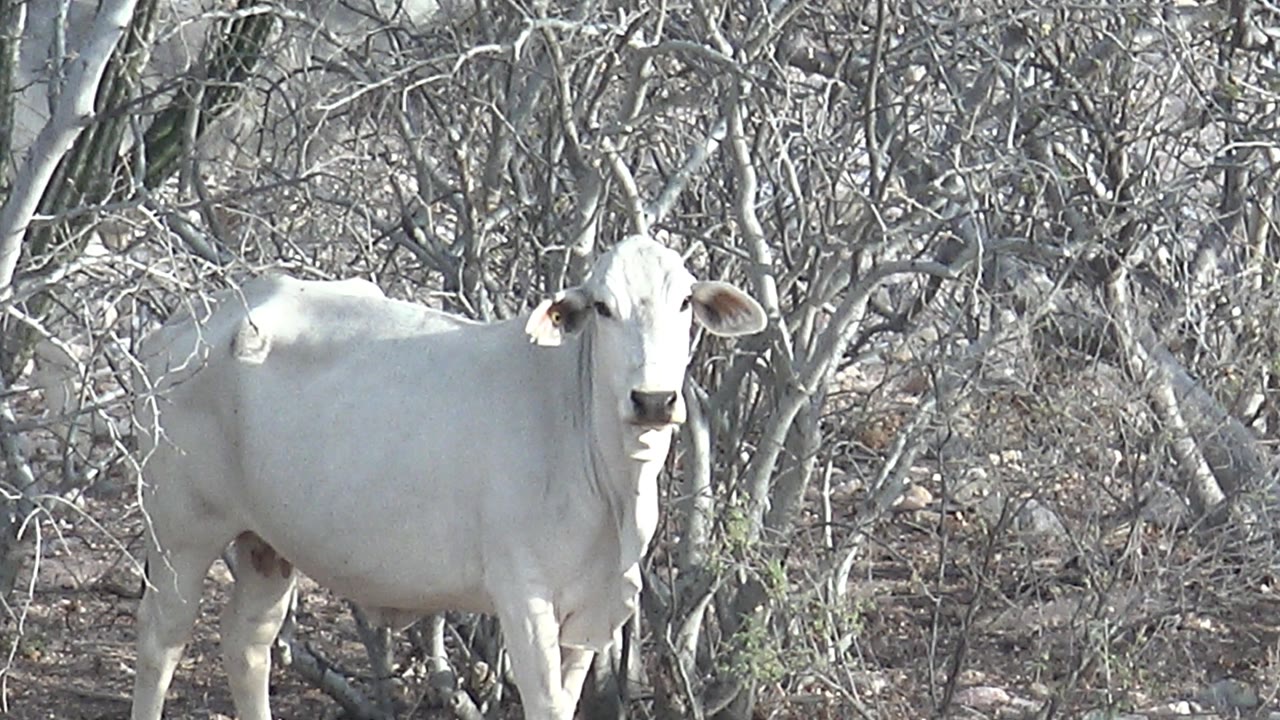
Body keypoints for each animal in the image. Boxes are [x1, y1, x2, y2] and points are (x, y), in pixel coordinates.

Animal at [130, 235, 767, 720]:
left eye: (684, 303)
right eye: (605, 308)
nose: (653, 400)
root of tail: (178, 328)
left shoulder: (593, 609)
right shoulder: (522, 593)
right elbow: (546, 705)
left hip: (267, 544)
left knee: (248, 646)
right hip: (180, 531)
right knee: (161, 643)